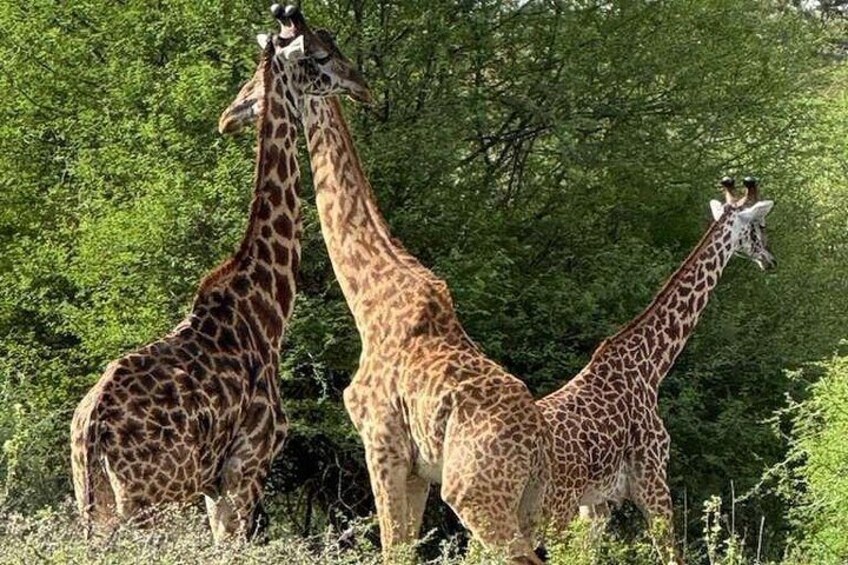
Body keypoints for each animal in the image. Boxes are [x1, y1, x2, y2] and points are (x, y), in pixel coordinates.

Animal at [70, 34, 369, 541]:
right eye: (322, 56)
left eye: (249, 87)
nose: (360, 83)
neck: (266, 307)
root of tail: (91, 428)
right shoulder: (245, 468)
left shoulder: (214, 483)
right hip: (146, 501)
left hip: (92, 498)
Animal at [222, 6, 552, 563]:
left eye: (317, 57)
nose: (229, 114)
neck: (369, 297)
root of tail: (539, 447)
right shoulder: (416, 469)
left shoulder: (382, 443)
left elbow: (393, 548)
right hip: (528, 505)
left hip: (476, 495)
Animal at [537, 177, 775, 561]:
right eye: (761, 226)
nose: (770, 260)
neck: (651, 366)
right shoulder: (652, 478)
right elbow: (672, 553)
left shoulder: (597, 503)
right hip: (554, 506)